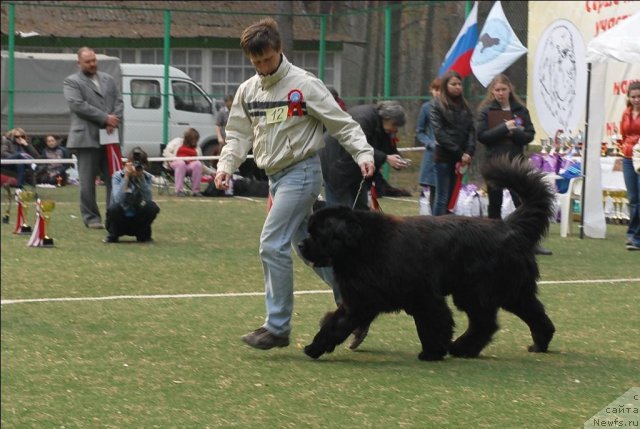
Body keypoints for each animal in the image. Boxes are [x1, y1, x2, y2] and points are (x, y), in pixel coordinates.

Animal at [300, 155, 556, 360]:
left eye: (317, 233)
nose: (301, 245)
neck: (364, 247)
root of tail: (509, 225)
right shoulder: (359, 300)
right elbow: (335, 324)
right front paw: (314, 347)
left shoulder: (423, 295)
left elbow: (433, 322)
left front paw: (432, 352)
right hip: (509, 291)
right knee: (531, 314)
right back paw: (537, 344)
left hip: (478, 291)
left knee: (485, 322)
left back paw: (462, 348)